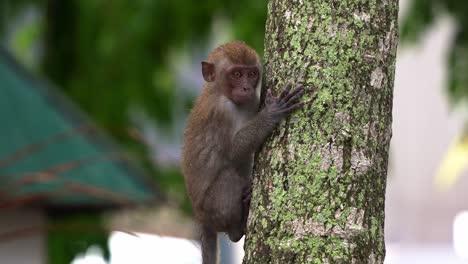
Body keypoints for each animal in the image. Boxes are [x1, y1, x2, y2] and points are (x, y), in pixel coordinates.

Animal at [183, 41, 304, 264]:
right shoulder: (220, 111)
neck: (219, 91)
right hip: (210, 208)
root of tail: (200, 219)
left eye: (252, 74)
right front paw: (271, 113)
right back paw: (236, 230)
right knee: (228, 178)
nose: (246, 87)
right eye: (237, 74)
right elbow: (234, 151)